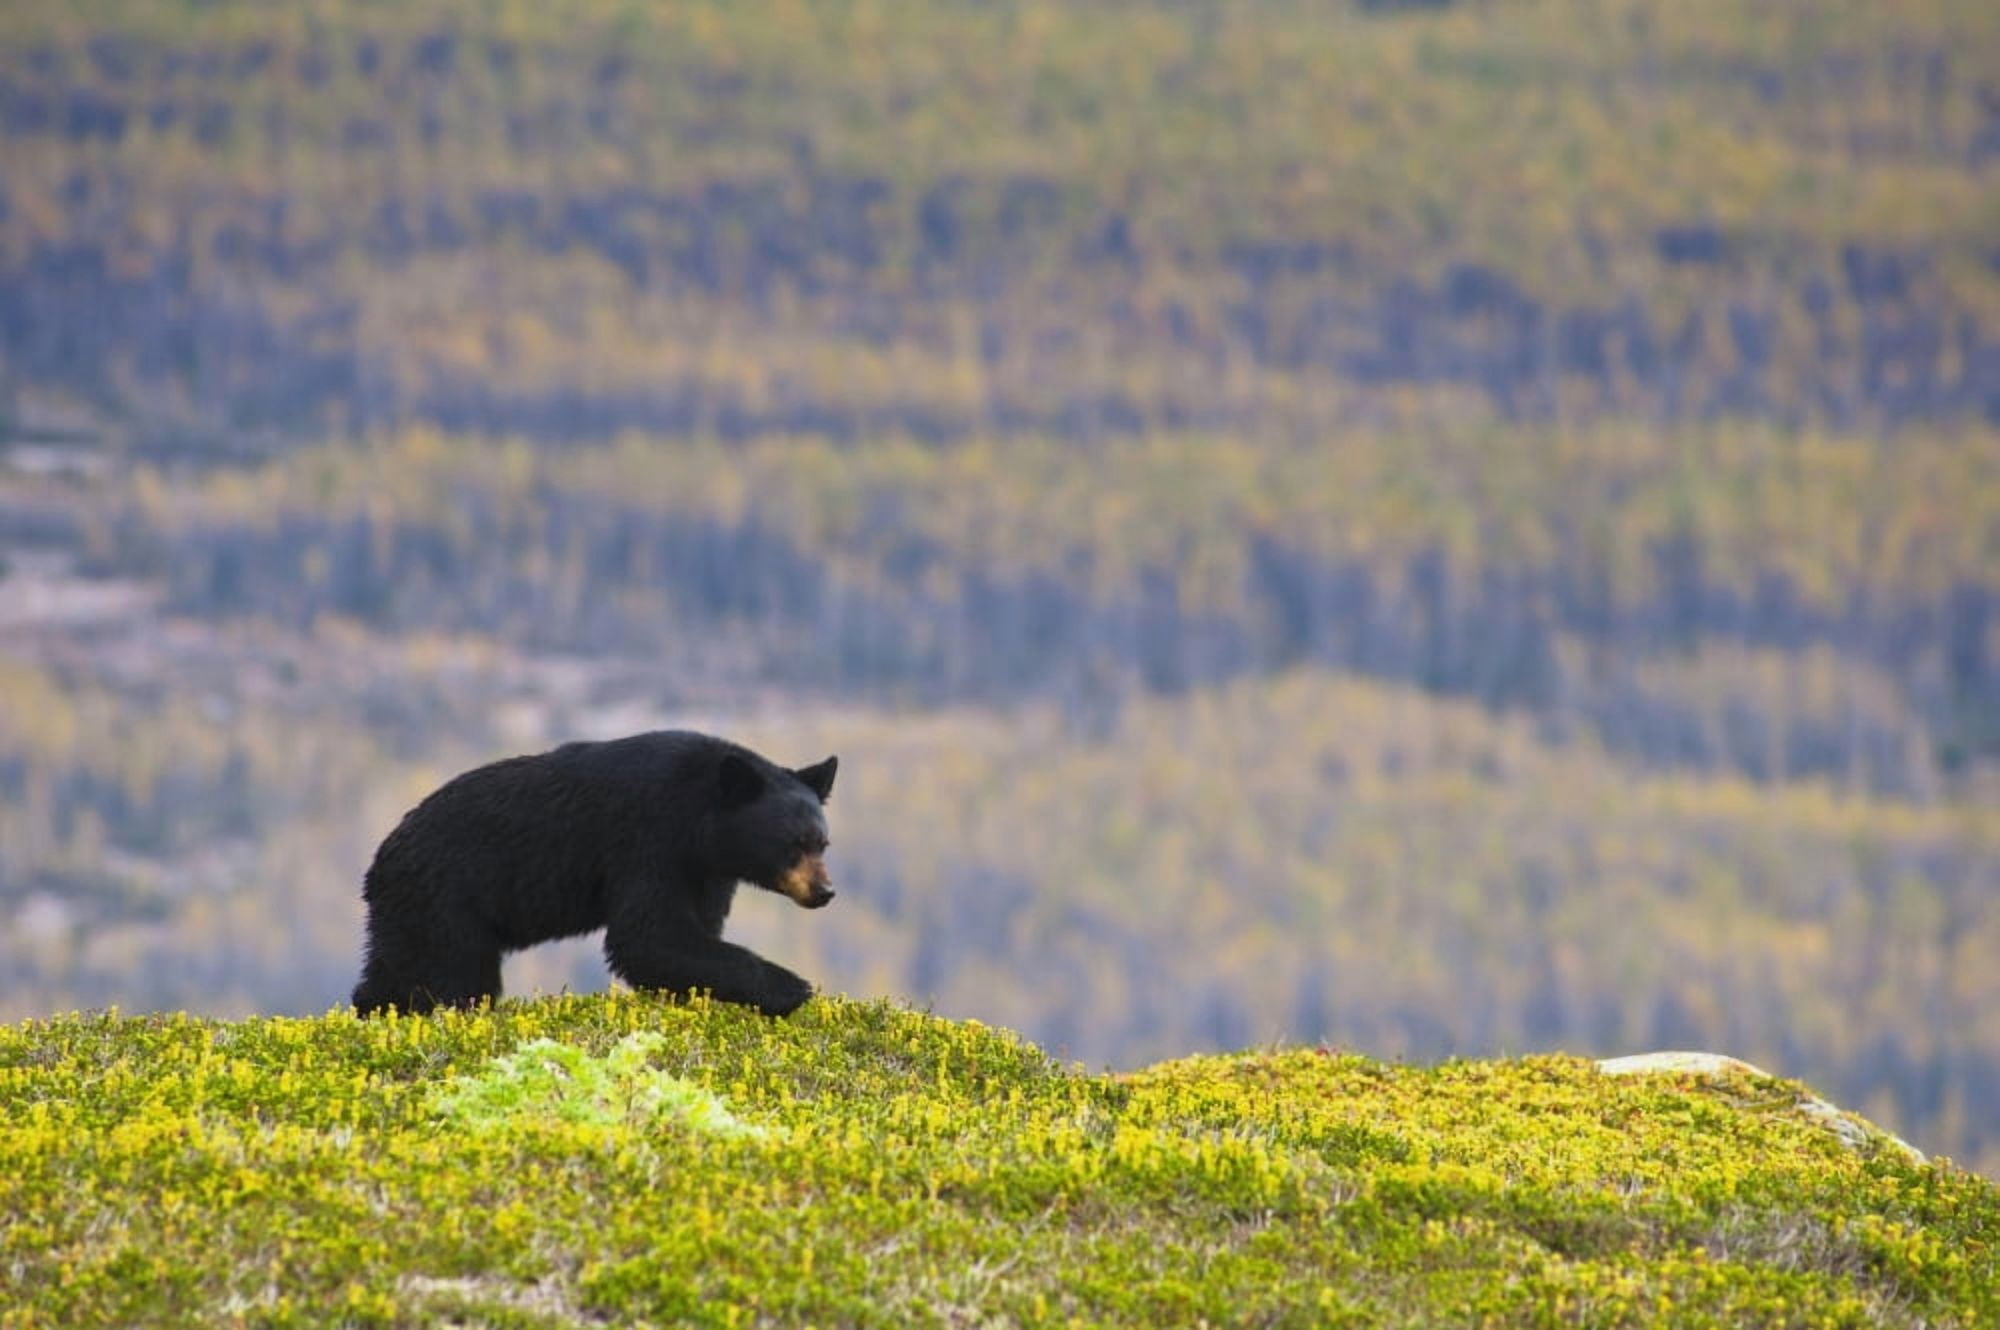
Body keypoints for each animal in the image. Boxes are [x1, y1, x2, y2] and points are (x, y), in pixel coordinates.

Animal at [351, 730, 838, 1017]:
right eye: (794, 843)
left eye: (822, 842)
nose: (824, 891)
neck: (702, 819)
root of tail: (379, 863)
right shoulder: (650, 840)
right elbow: (651, 936)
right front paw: (792, 987)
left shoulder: (707, 871)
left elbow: (692, 933)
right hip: (446, 899)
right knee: (453, 975)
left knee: (395, 969)